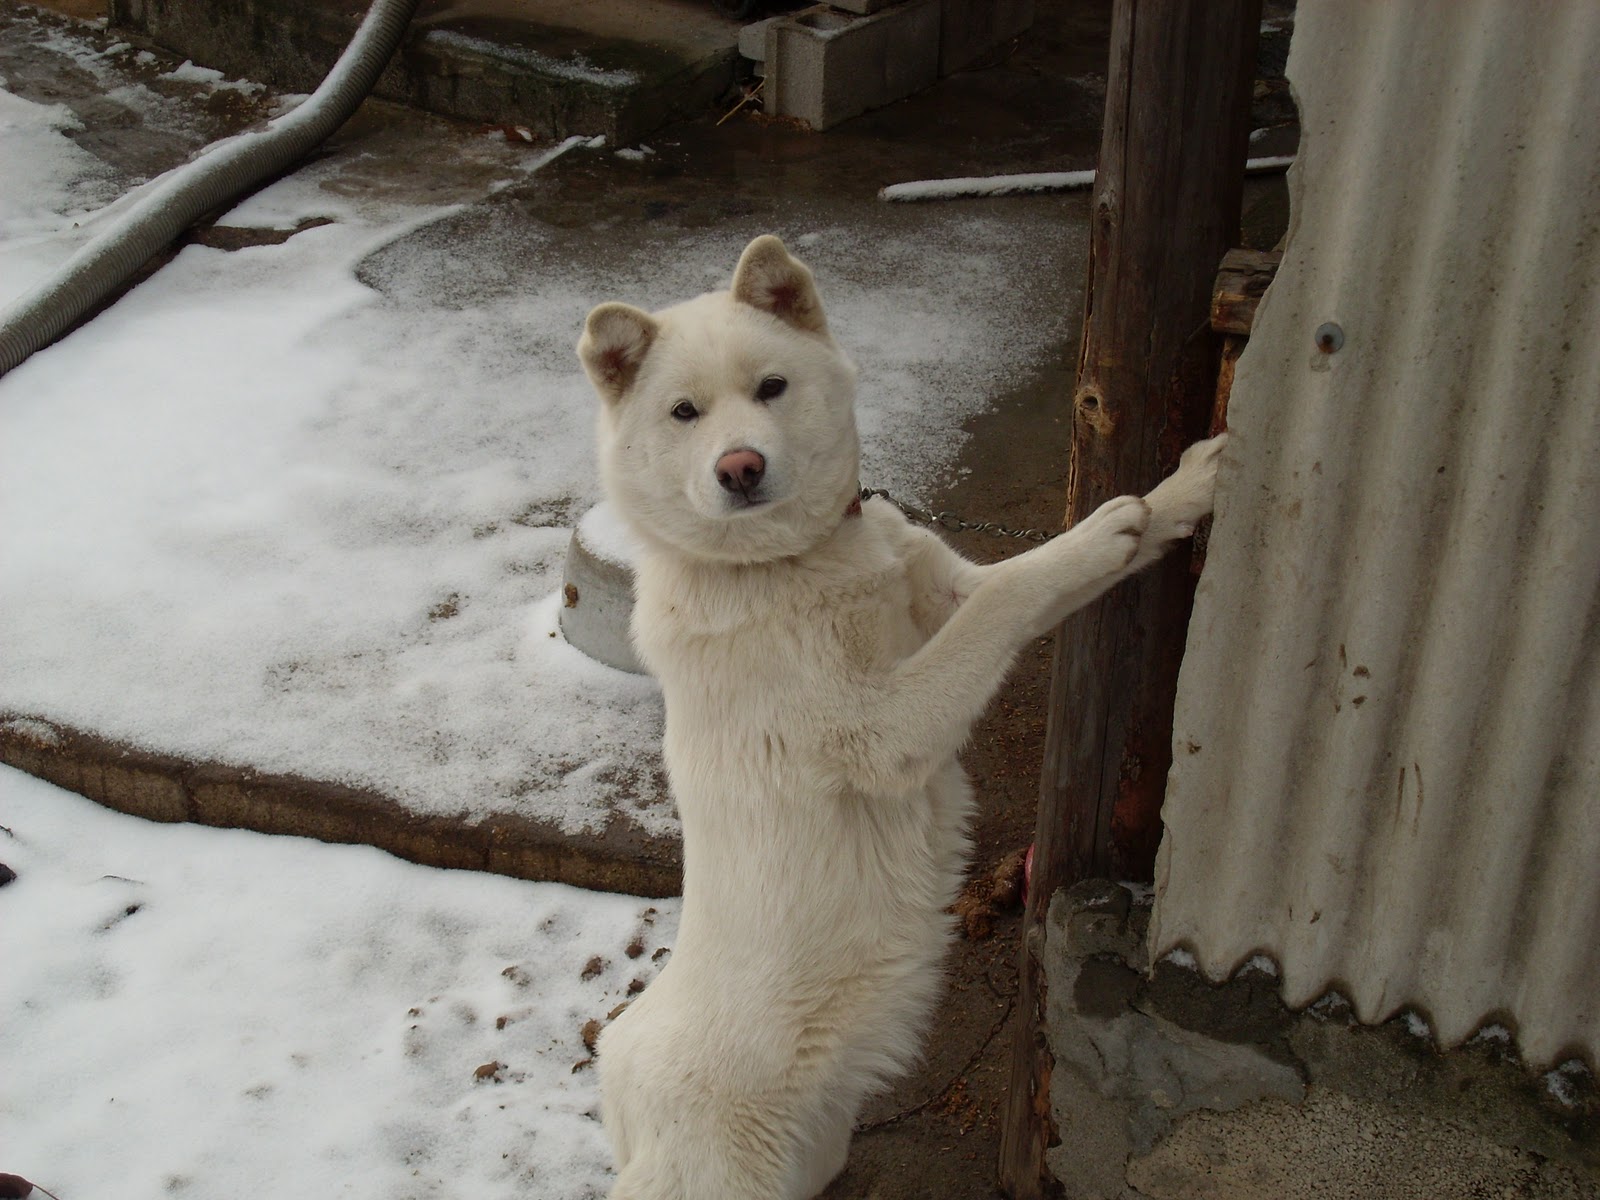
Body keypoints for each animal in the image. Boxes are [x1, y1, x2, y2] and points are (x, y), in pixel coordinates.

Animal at [576, 236, 1222, 1200]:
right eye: (683, 412)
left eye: (771, 387)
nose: (740, 468)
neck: (791, 564)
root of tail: (626, 1113)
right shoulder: (887, 727)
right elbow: (1012, 600)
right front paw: (1108, 526)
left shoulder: (947, 592)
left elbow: (1030, 578)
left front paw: (1184, 489)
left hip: (812, 1155)